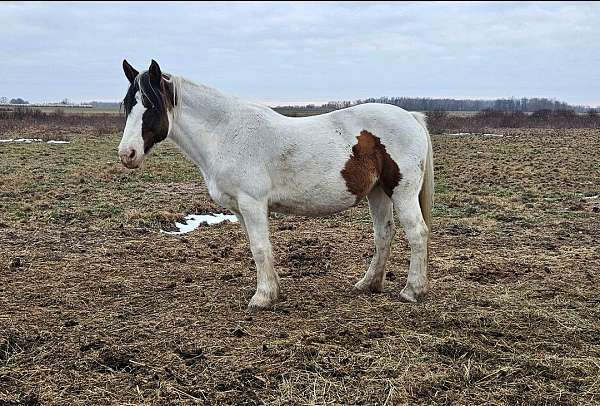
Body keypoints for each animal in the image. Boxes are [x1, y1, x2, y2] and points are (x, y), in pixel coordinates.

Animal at [119, 58, 434, 310]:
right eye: (127, 106)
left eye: (150, 106)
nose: (127, 154)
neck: (226, 133)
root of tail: (411, 117)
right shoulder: (239, 208)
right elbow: (257, 248)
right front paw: (272, 290)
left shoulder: (252, 203)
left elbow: (260, 248)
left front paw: (262, 298)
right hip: (378, 192)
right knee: (383, 234)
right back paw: (368, 284)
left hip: (401, 192)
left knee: (417, 233)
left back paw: (412, 291)